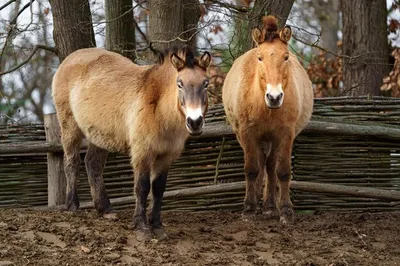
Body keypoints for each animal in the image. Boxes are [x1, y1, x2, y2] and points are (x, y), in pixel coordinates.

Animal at [52, 45, 212, 237]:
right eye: (179, 83)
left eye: (206, 83)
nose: (195, 122)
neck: (158, 108)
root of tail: (69, 59)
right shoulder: (142, 153)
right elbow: (142, 187)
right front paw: (142, 227)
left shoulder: (166, 156)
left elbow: (158, 188)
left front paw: (156, 225)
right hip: (69, 126)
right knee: (72, 162)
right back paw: (72, 205)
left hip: (98, 136)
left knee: (92, 164)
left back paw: (105, 209)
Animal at [222, 16, 312, 224]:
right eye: (260, 57)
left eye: (285, 57)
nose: (274, 97)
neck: (265, 106)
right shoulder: (247, 133)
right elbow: (252, 169)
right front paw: (249, 208)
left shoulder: (286, 134)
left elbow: (283, 171)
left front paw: (286, 210)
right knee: (261, 163)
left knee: (270, 165)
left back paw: (270, 206)